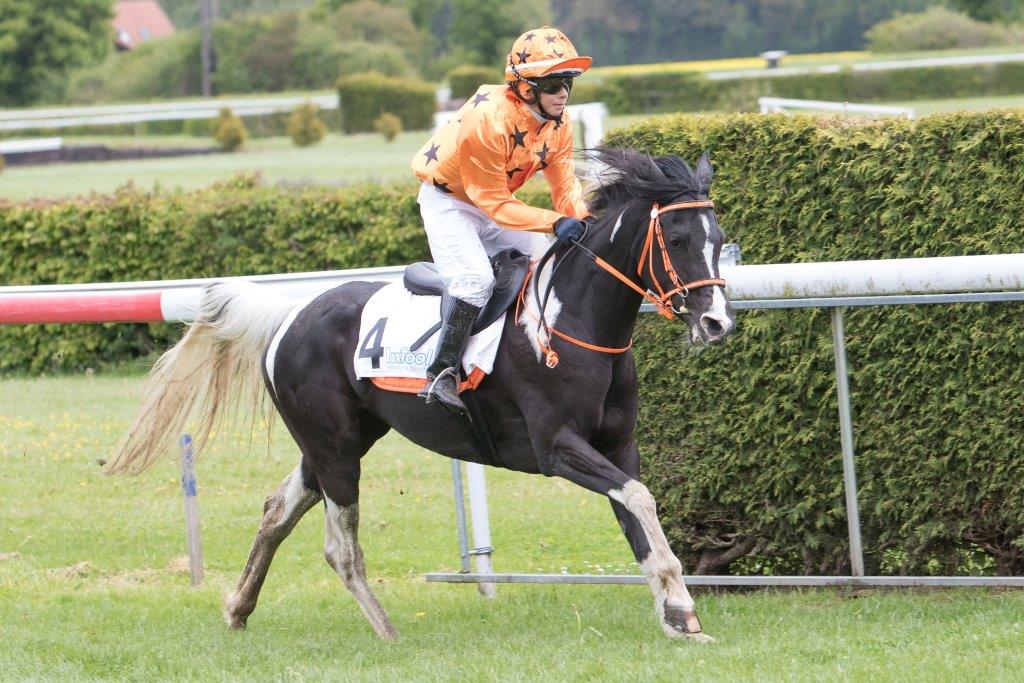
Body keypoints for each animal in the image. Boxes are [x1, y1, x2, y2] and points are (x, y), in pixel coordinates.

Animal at [106, 147, 736, 643]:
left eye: (721, 240)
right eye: (678, 238)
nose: (717, 323)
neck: (568, 323)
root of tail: (291, 313)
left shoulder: (618, 444)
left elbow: (635, 511)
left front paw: (677, 613)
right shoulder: (556, 447)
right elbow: (640, 500)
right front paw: (679, 604)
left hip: (336, 440)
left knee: (278, 508)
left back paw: (239, 608)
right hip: (334, 445)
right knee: (339, 545)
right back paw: (385, 629)